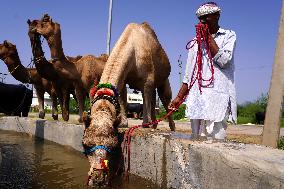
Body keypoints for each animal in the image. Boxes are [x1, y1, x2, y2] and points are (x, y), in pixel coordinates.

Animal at [81, 22, 175, 186]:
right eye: (86, 145)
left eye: (113, 146)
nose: (98, 180)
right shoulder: (124, 79)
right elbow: (123, 99)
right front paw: (124, 122)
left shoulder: (148, 79)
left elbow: (145, 97)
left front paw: (145, 124)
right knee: (153, 99)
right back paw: (154, 124)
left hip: (164, 79)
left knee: (165, 98)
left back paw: (169, 126)